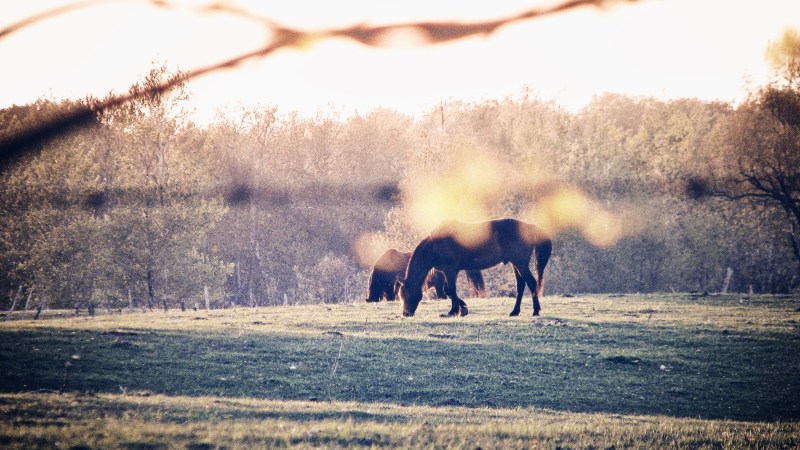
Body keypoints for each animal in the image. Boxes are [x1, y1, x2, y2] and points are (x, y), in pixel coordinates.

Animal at [400, 218, 551, 317]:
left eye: (406, 293)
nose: (406, 313)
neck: (435, 244)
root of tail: (529, 227)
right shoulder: (446, 272)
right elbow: (448, 291)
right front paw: (463, 309)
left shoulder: (450, 271)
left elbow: (451, 290)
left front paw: (454, 311)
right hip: (517, 265)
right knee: (521, 286)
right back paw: (515, 311)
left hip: (520, 264)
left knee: (531, 283)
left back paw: (536, 311)